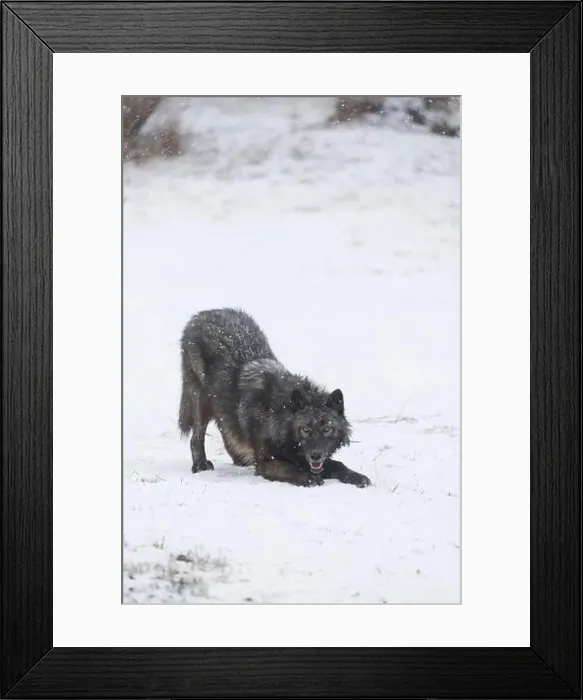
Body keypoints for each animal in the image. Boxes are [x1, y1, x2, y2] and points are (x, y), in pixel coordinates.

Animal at [178, 308, 371, 488]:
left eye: (327, 429)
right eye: (305, 429)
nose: (315, 455)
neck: (278, 417)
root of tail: (201, 314)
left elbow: (339, 464)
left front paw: (357, 477)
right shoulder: (266, 463)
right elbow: (291, 468)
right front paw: (309, 478)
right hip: (200, 401)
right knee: (196, 438)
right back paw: (200, 465)